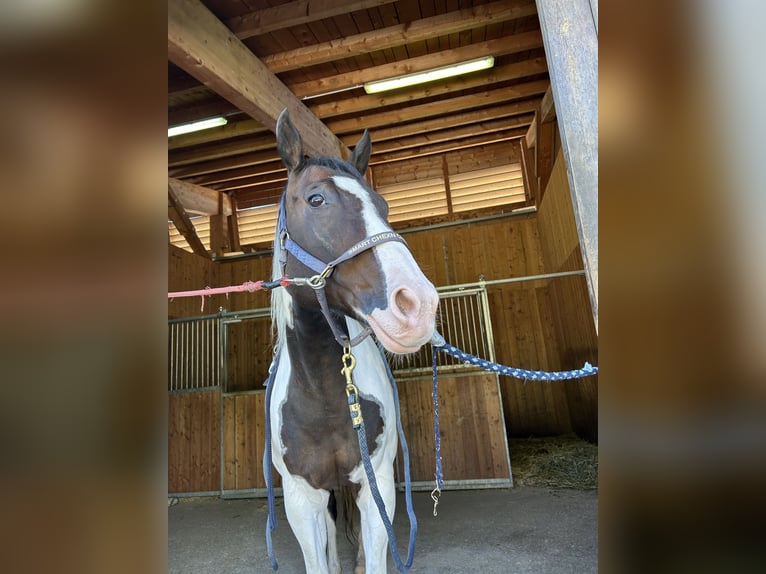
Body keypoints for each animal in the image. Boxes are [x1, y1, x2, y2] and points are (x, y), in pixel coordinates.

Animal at [266, 109, 439, 574]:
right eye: (316, 200)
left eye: (383, 206)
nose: (418, 305)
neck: (323, 392)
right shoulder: (301, 499)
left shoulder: (377, 484)